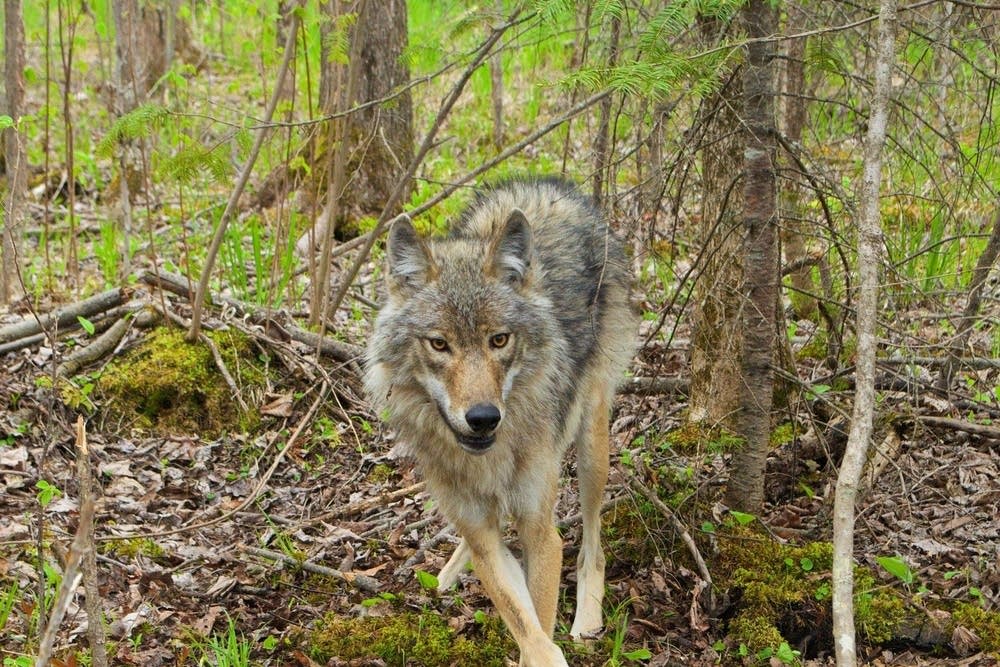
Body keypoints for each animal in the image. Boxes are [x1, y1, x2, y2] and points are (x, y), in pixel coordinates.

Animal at [365, 178, 635, 666]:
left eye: (499, 340)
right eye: (439, 344)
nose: (483, 418)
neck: (490, 459)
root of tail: (544, 186)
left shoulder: (542, 534)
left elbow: (538, 627)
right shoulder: (485, 536)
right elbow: (522, 619)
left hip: (592, 446)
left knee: (593, 545)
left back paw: (588, 618)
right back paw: (448, 573)